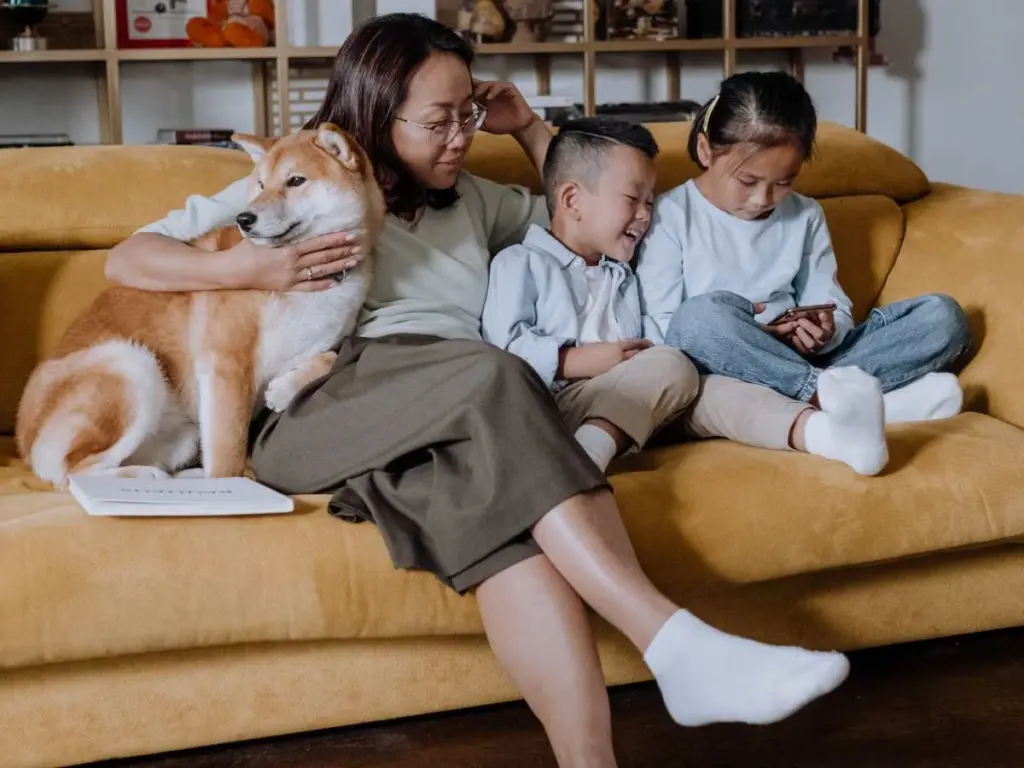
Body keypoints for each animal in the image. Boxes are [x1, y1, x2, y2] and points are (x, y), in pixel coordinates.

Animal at [16, 123, 385, 489]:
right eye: (260, 184)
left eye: (296, 181)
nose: (244, 218)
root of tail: (24, 440)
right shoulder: (227, 365)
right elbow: (228, 456)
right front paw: (230, 488)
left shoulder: (319, 343)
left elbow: (331, 357)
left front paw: (283, 390)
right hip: (131, 364)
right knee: (73, 472)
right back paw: (149, 478)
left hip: (185, 434)